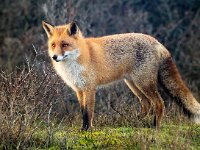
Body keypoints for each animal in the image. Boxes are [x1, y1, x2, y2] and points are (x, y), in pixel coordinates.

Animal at [42, 21, 200, 130]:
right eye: (53, 45)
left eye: (64, 44)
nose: (55, 57)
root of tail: (157, 42)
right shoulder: (79, 90)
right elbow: (83, 111)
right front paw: (83, 128)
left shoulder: (90, 88)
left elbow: (88, 112)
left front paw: (88, 129)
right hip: (133, 84)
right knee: (146, 103)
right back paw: (136, 121)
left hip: (143, 83)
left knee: (159, 103)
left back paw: (155, 126)